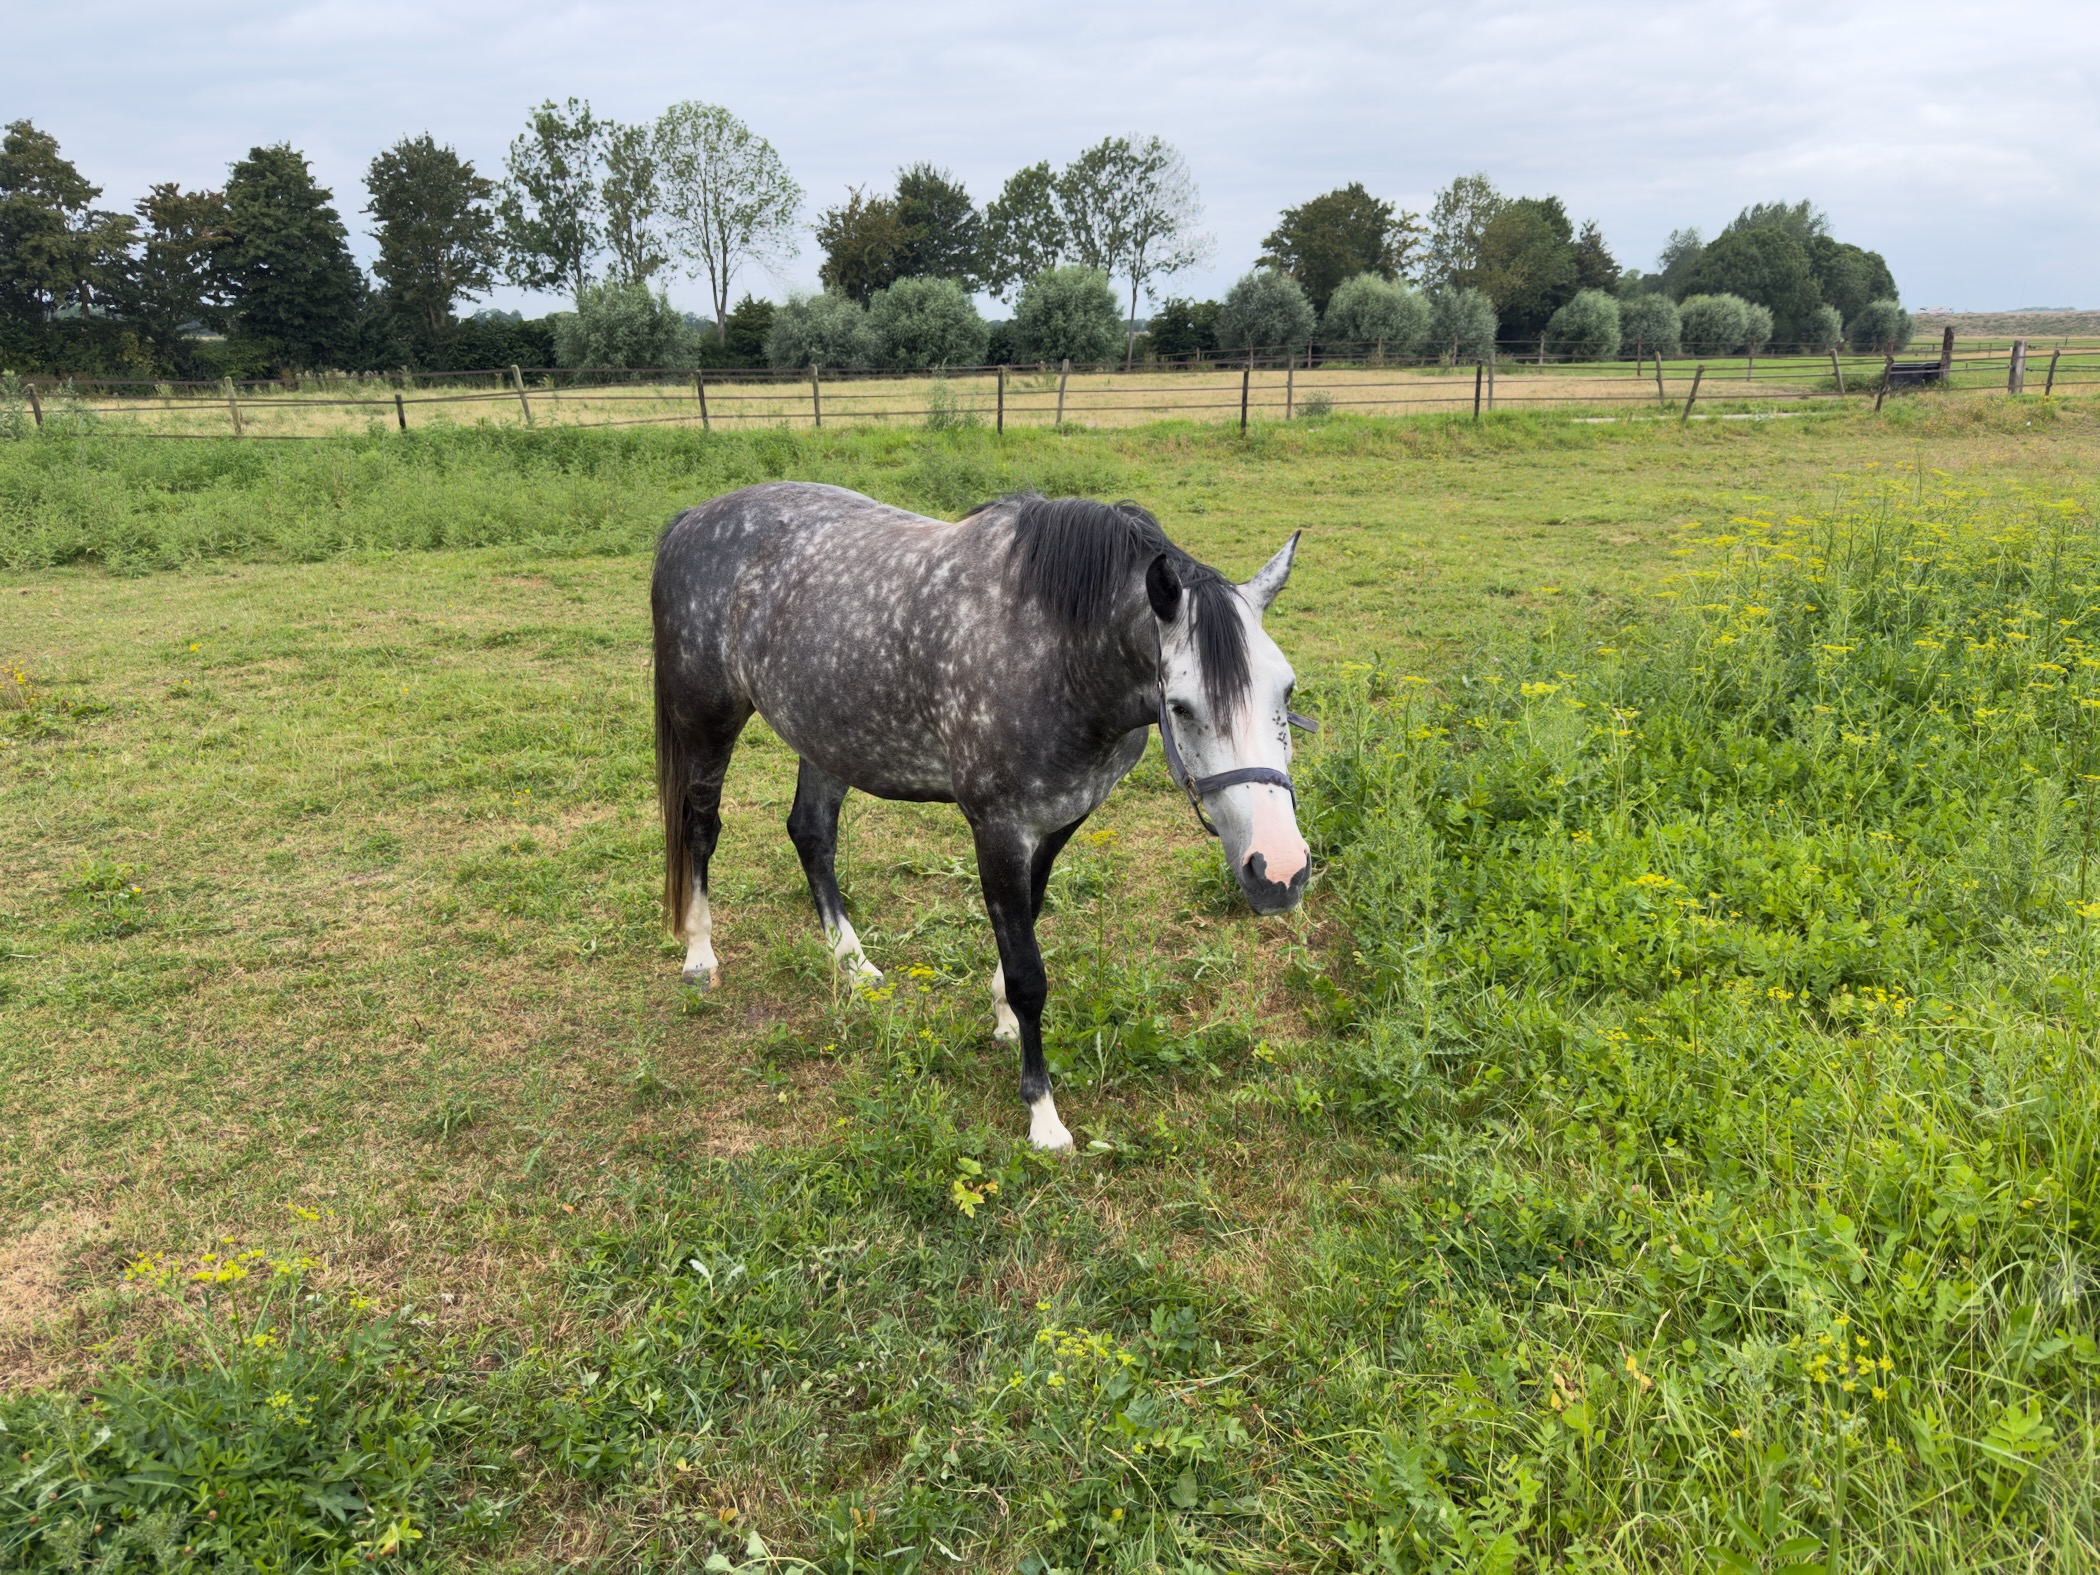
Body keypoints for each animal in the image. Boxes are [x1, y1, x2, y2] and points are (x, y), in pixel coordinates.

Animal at [651, 482, 1312, 1150]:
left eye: (1286, 691)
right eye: (1179, 705)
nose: (1280, 872)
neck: (1057, 652)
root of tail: (692, 520)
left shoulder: (1056, 824)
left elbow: (1025, 927)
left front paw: (1003, 1021)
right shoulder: (998, 830)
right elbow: (1028, 973)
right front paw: (1043, 1115)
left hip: (827, 737)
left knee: (811, 835)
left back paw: (854, 965)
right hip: (708, 725)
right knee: (701, 831)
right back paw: (700, 956)